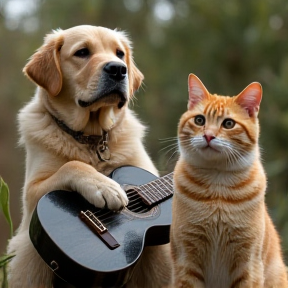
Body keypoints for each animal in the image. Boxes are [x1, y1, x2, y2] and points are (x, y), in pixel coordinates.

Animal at [6, 25, 171, 288]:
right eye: (82, 52)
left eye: (119, 53)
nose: (118, 69)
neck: (92, 140)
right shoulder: (31, 194)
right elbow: (72, 165)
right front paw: (104, 186)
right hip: (26, 247)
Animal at [170, 73, 286, 286]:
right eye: (199, 120)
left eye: (229, 124)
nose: (208, 136)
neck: (218, 185)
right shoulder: (186, 260)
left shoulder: (249, 262)